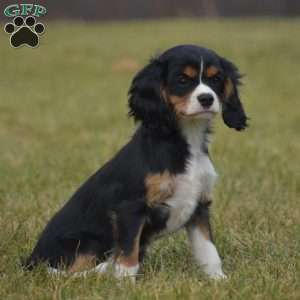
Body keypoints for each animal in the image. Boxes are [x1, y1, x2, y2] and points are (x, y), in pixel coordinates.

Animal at [25, 45, 247, 282]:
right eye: (182, 80)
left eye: (216, 79)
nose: (207, 99)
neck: (187, 138)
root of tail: (29, 261)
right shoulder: (130, 207)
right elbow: (128, 255)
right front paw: (125, 283)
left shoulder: (199, 206)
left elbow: (208, 250)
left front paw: (219, 279)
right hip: (87, 243)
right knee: (65, 273)